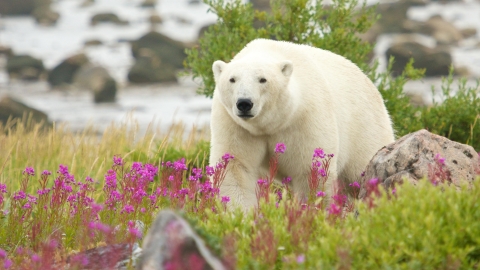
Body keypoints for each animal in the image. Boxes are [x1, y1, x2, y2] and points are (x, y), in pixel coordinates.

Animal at [209, 38, 394, 209]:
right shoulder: (235, 125)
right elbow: (235, 166)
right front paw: (241, 213)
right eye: (232, 79)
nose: (244, 103)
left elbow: (310, 170)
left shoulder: (305, 118)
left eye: (263, 79)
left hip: (364, 128)